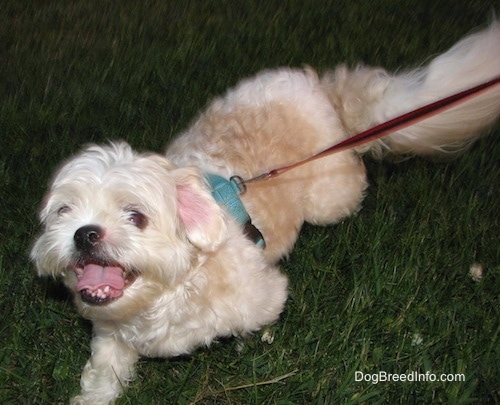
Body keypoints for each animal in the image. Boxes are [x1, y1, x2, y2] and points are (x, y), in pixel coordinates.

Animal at [31, 22, 500, 404]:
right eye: (64, 212)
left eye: (136, 216)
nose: (84, 233)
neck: (169, 294)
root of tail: (319, 86)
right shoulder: (111, 332)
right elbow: (102, 371)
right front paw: (93, 396)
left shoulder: (265, 297)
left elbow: (254, 320)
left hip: (333, 195)